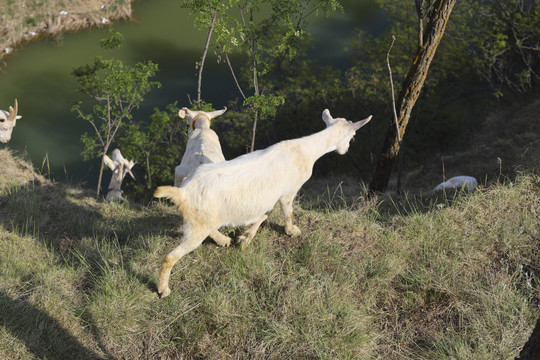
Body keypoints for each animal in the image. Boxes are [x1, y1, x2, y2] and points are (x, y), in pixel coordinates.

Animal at [152, 109, 372, 298]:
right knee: (170, 257)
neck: (306, 150)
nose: (347, 149)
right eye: (352, 136)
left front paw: (245, 238)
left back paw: (224, 240)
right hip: (197, 225)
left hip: (202, 219)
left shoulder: (270, 196)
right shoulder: (289, 191)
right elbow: (287, 212)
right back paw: (163, 289)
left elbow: (265, 215)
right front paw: (292, 231)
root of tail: (183, 193)